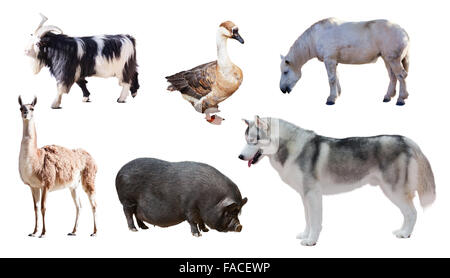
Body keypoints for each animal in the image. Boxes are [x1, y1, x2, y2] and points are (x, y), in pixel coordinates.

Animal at [282, 18, 412, 105]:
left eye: (285, 72)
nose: (282, 89)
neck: (315, 36)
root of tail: (404, 32)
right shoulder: (334, 61)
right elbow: (336, 77)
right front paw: (337, 95)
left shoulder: (329, 60)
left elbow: (331, 79)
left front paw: (331, 99)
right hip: (387, 59)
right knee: (393, 77)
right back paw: (388, 97)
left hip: (393, 60)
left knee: (401, 76)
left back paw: (401, 99)